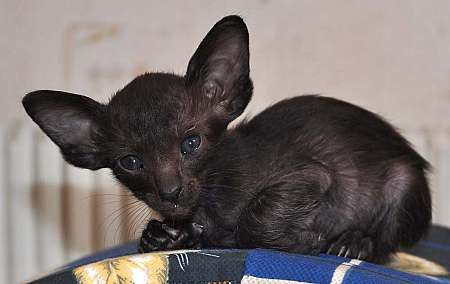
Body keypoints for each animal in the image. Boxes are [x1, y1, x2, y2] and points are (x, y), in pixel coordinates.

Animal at [22, 16, 430, 264]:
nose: (170, 193)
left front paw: (306, 240)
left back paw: (356, 242)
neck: (209, 202)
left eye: (191, 144)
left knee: (389, 244)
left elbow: (254, 219)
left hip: (403, 180)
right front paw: (166, 236)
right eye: (131, 162)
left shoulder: (312, 175)